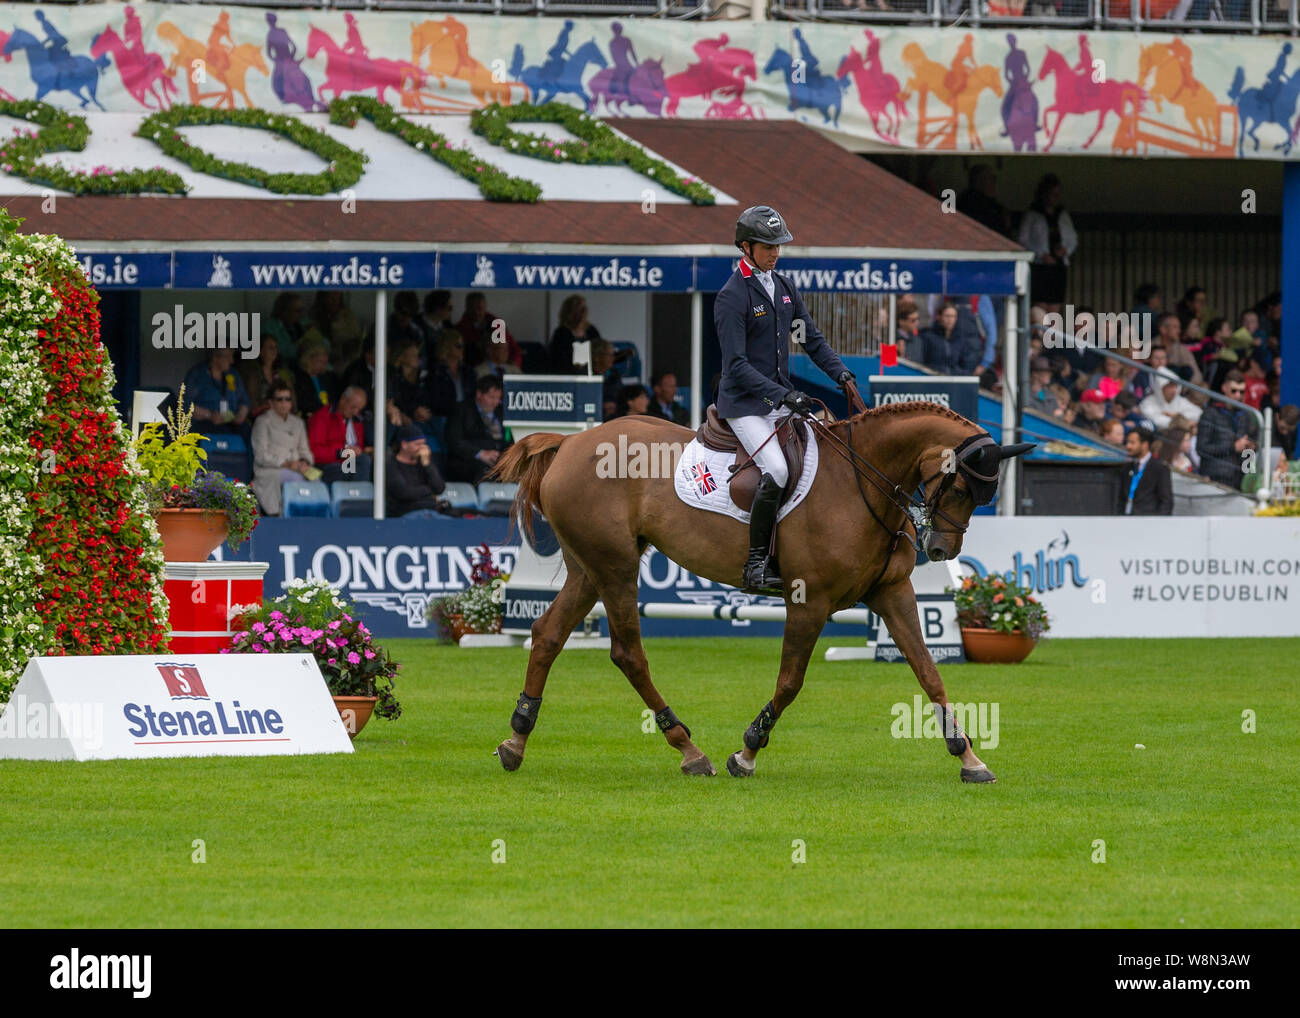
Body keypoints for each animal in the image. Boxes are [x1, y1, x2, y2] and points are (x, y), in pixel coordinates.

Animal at [491, 403, 1029, 785]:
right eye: (958, 488)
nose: (940, 549)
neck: (860, 480)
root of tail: (570, 441)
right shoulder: (809, 602)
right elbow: (790, 682)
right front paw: (746, 752)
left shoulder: (891, 592)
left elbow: (928, 672)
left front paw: (969, 756)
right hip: (615, 568)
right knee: (627, 653)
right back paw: (689, 749)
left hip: (589, 568)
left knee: (547, 634)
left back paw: (516, 740)